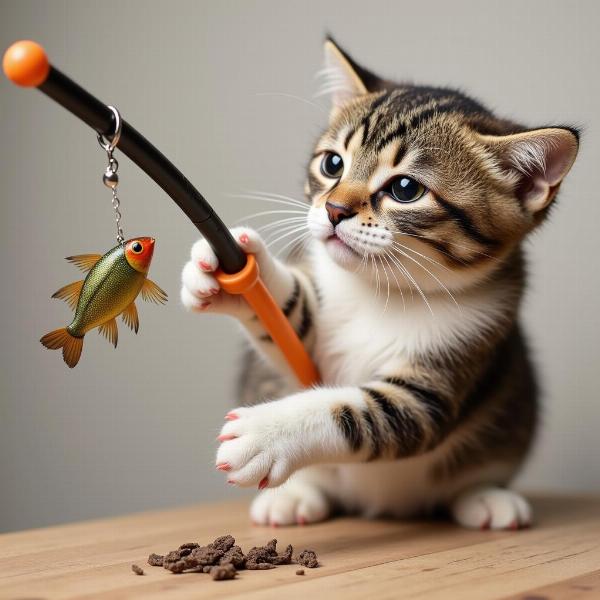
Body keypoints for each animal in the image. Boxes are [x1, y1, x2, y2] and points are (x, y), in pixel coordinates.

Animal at [180, 38, 580, 528]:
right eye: (333, 164)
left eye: (405, 189)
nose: (334, 210)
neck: (384, 290)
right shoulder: (315, 347)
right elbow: (291, 330)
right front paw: (226, 271)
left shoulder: (443, 377)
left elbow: (352, 411)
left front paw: (265, 433)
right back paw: (294, 496)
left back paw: (486, 498)